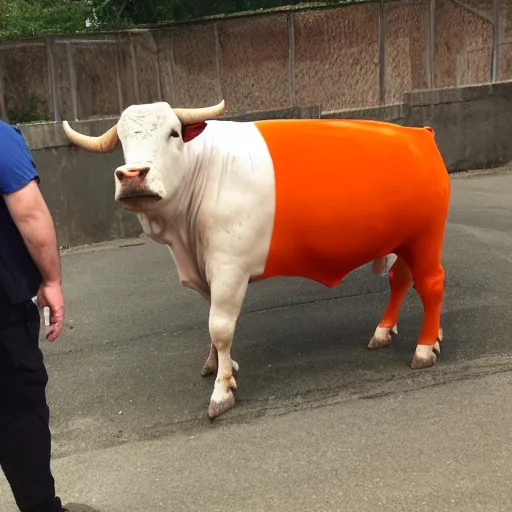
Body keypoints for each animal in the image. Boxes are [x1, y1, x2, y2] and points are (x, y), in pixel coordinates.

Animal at [62, 101, 450, 420]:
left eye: (173, 132)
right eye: (123, 139)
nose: (132, 176)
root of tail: (419, 134)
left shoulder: (228, 268)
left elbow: (220, 326)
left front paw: (221, 390)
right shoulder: (207, 270)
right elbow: (214, 325)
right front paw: (218, 363)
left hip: (426, 237)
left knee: (431, 284)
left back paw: (424, 348)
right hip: (407, 242)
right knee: (402, 280)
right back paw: (398, 332)